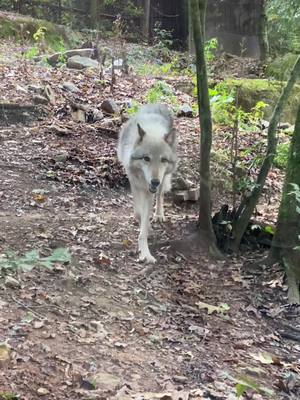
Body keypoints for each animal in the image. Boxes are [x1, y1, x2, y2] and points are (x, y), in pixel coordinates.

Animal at [117, 103, 178, 262]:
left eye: (163, 159)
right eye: (146, 158)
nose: (154, 181)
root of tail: (158, 103)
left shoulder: (149, 192)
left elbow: (143, 225)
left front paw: (145, 253)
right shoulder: (134, 184)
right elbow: (138, 213)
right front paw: (146, 226)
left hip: (163, 179)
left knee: (161, 195)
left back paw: (158, 215)